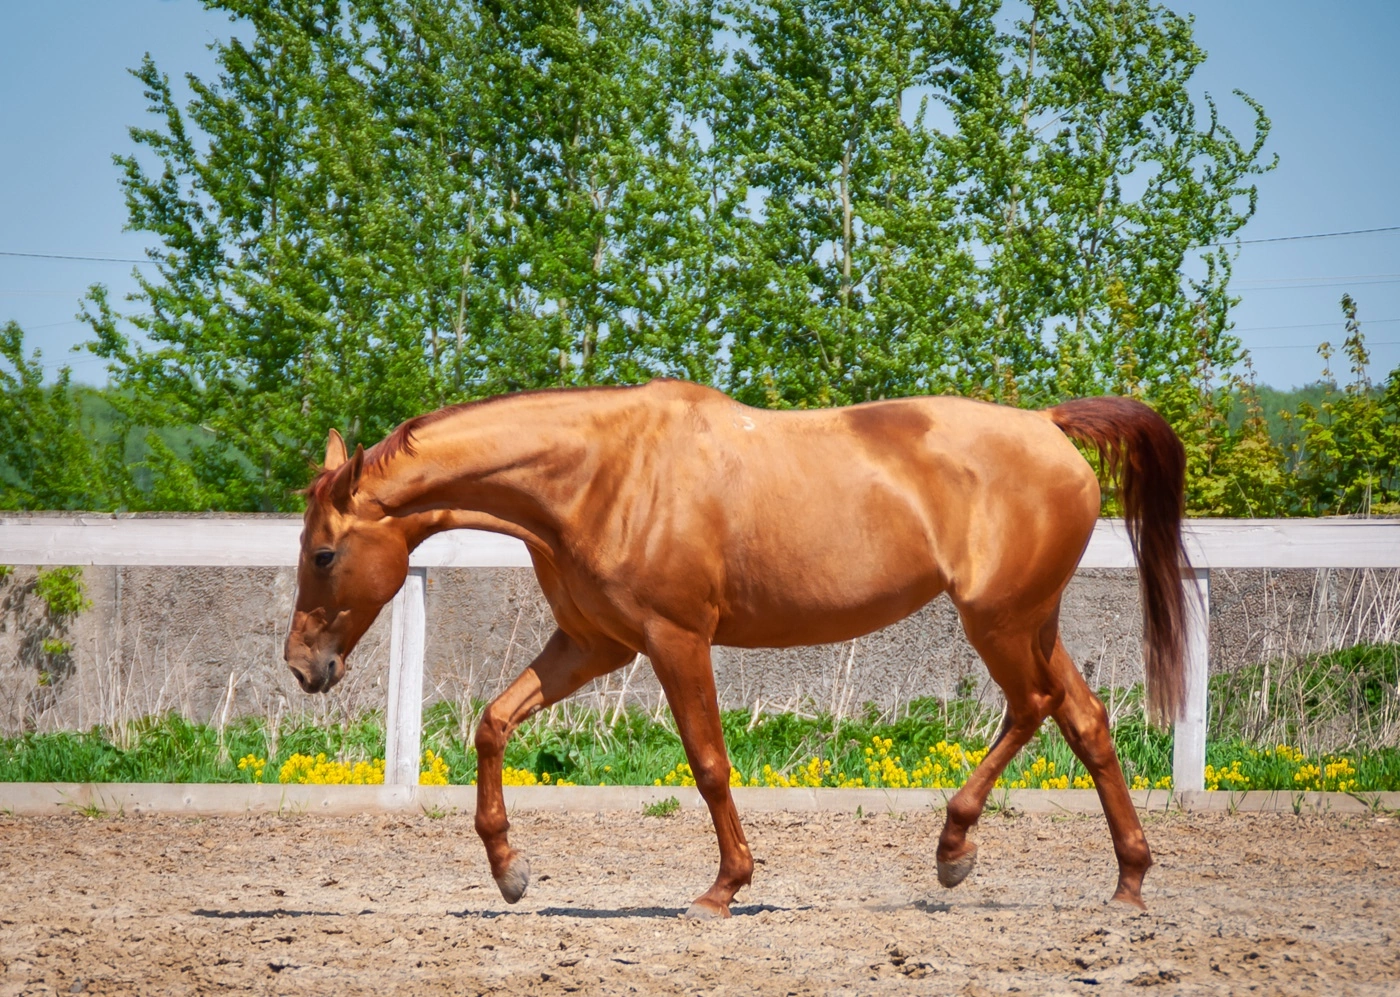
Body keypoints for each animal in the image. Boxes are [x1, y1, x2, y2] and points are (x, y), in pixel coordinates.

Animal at [289, 378, 1187, 912]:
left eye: (323, 552)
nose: (303, 666)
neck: (597, 475)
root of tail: (1049, 426)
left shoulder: (675, 639)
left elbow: (709, 761)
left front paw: (724, 886)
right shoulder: (594, 644)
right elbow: (492, 722)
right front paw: (511, 870)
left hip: (998, 622)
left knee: (1034, 707)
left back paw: (954, 847)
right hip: (1031, 621)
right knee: (1086, 720)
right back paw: (1129, 881)